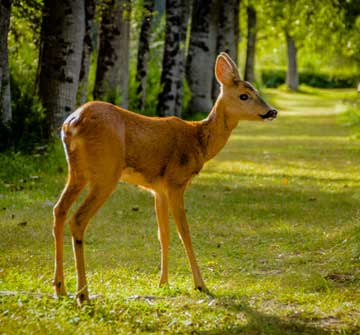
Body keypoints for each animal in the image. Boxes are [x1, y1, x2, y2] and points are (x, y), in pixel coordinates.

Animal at [52, 51, 278, 304]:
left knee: (59, 210)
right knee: (78, 218)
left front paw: (163, 283)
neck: (199, 140)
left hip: (77, 172)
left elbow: (164, 234)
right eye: (244, 95)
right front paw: (200, 284)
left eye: (256, 91)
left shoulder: (157, 189)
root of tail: (71, 124)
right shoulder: (175, 181)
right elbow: (184, 232)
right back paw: (83, 295)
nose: (272, 111)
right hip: (105, 173)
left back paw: (60, 288)